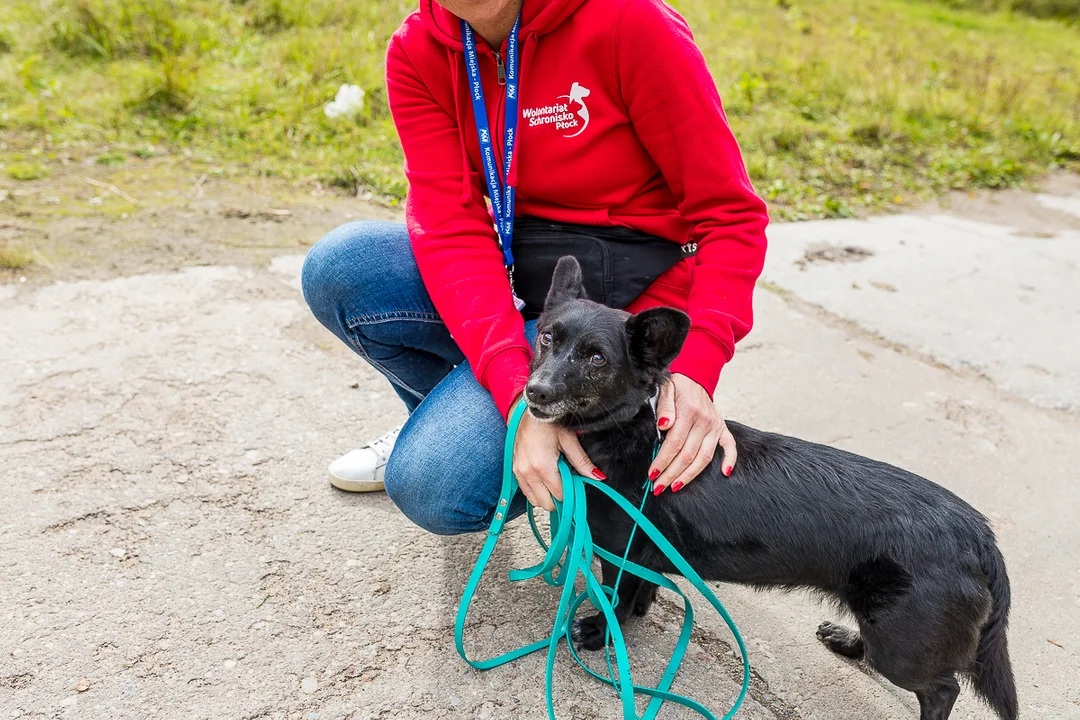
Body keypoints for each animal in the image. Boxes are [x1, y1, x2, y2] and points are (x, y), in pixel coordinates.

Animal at [522, 257, 1010, 720]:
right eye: (547, 338)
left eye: (597, 359)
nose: (535, 392)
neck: (629, 431)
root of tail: (978, 536)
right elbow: (642, 593)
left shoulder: (619, 554)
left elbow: (617, 600)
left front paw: (601, 632)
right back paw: (847, 641)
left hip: (901, 644)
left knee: (943, 689)